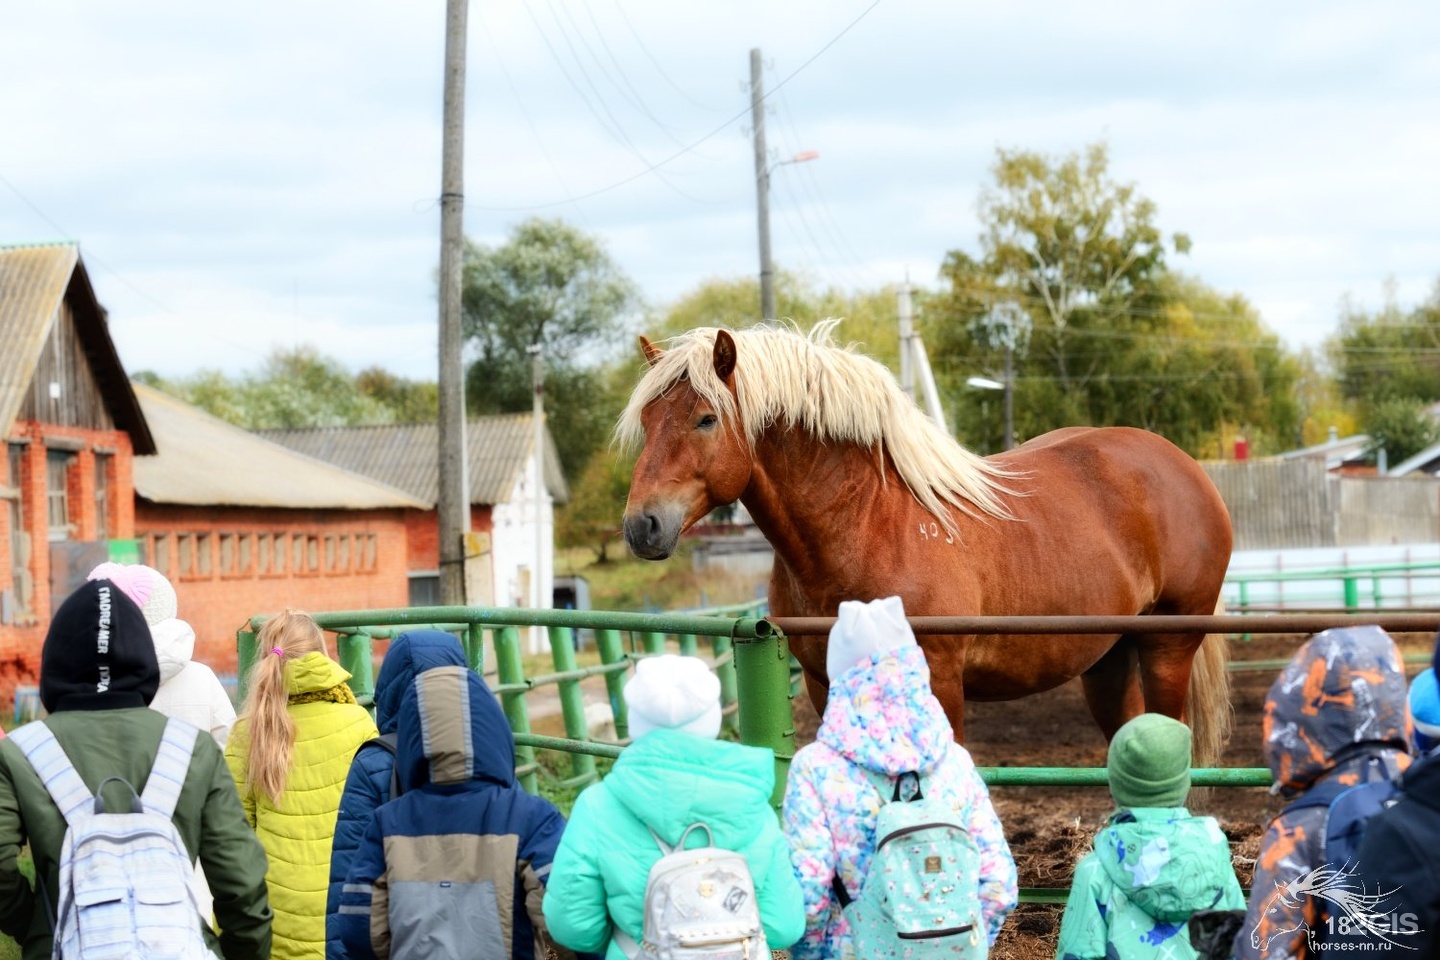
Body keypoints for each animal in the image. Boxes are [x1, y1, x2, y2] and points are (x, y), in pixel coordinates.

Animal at [613, 322, 1232, 765]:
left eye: (705, 419)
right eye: (648, 420)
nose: (642, 526)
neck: (869, 527)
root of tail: (1182, 466)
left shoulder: (939, 682)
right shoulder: (824, 685)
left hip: (1167, 647)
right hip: (1108, 660)